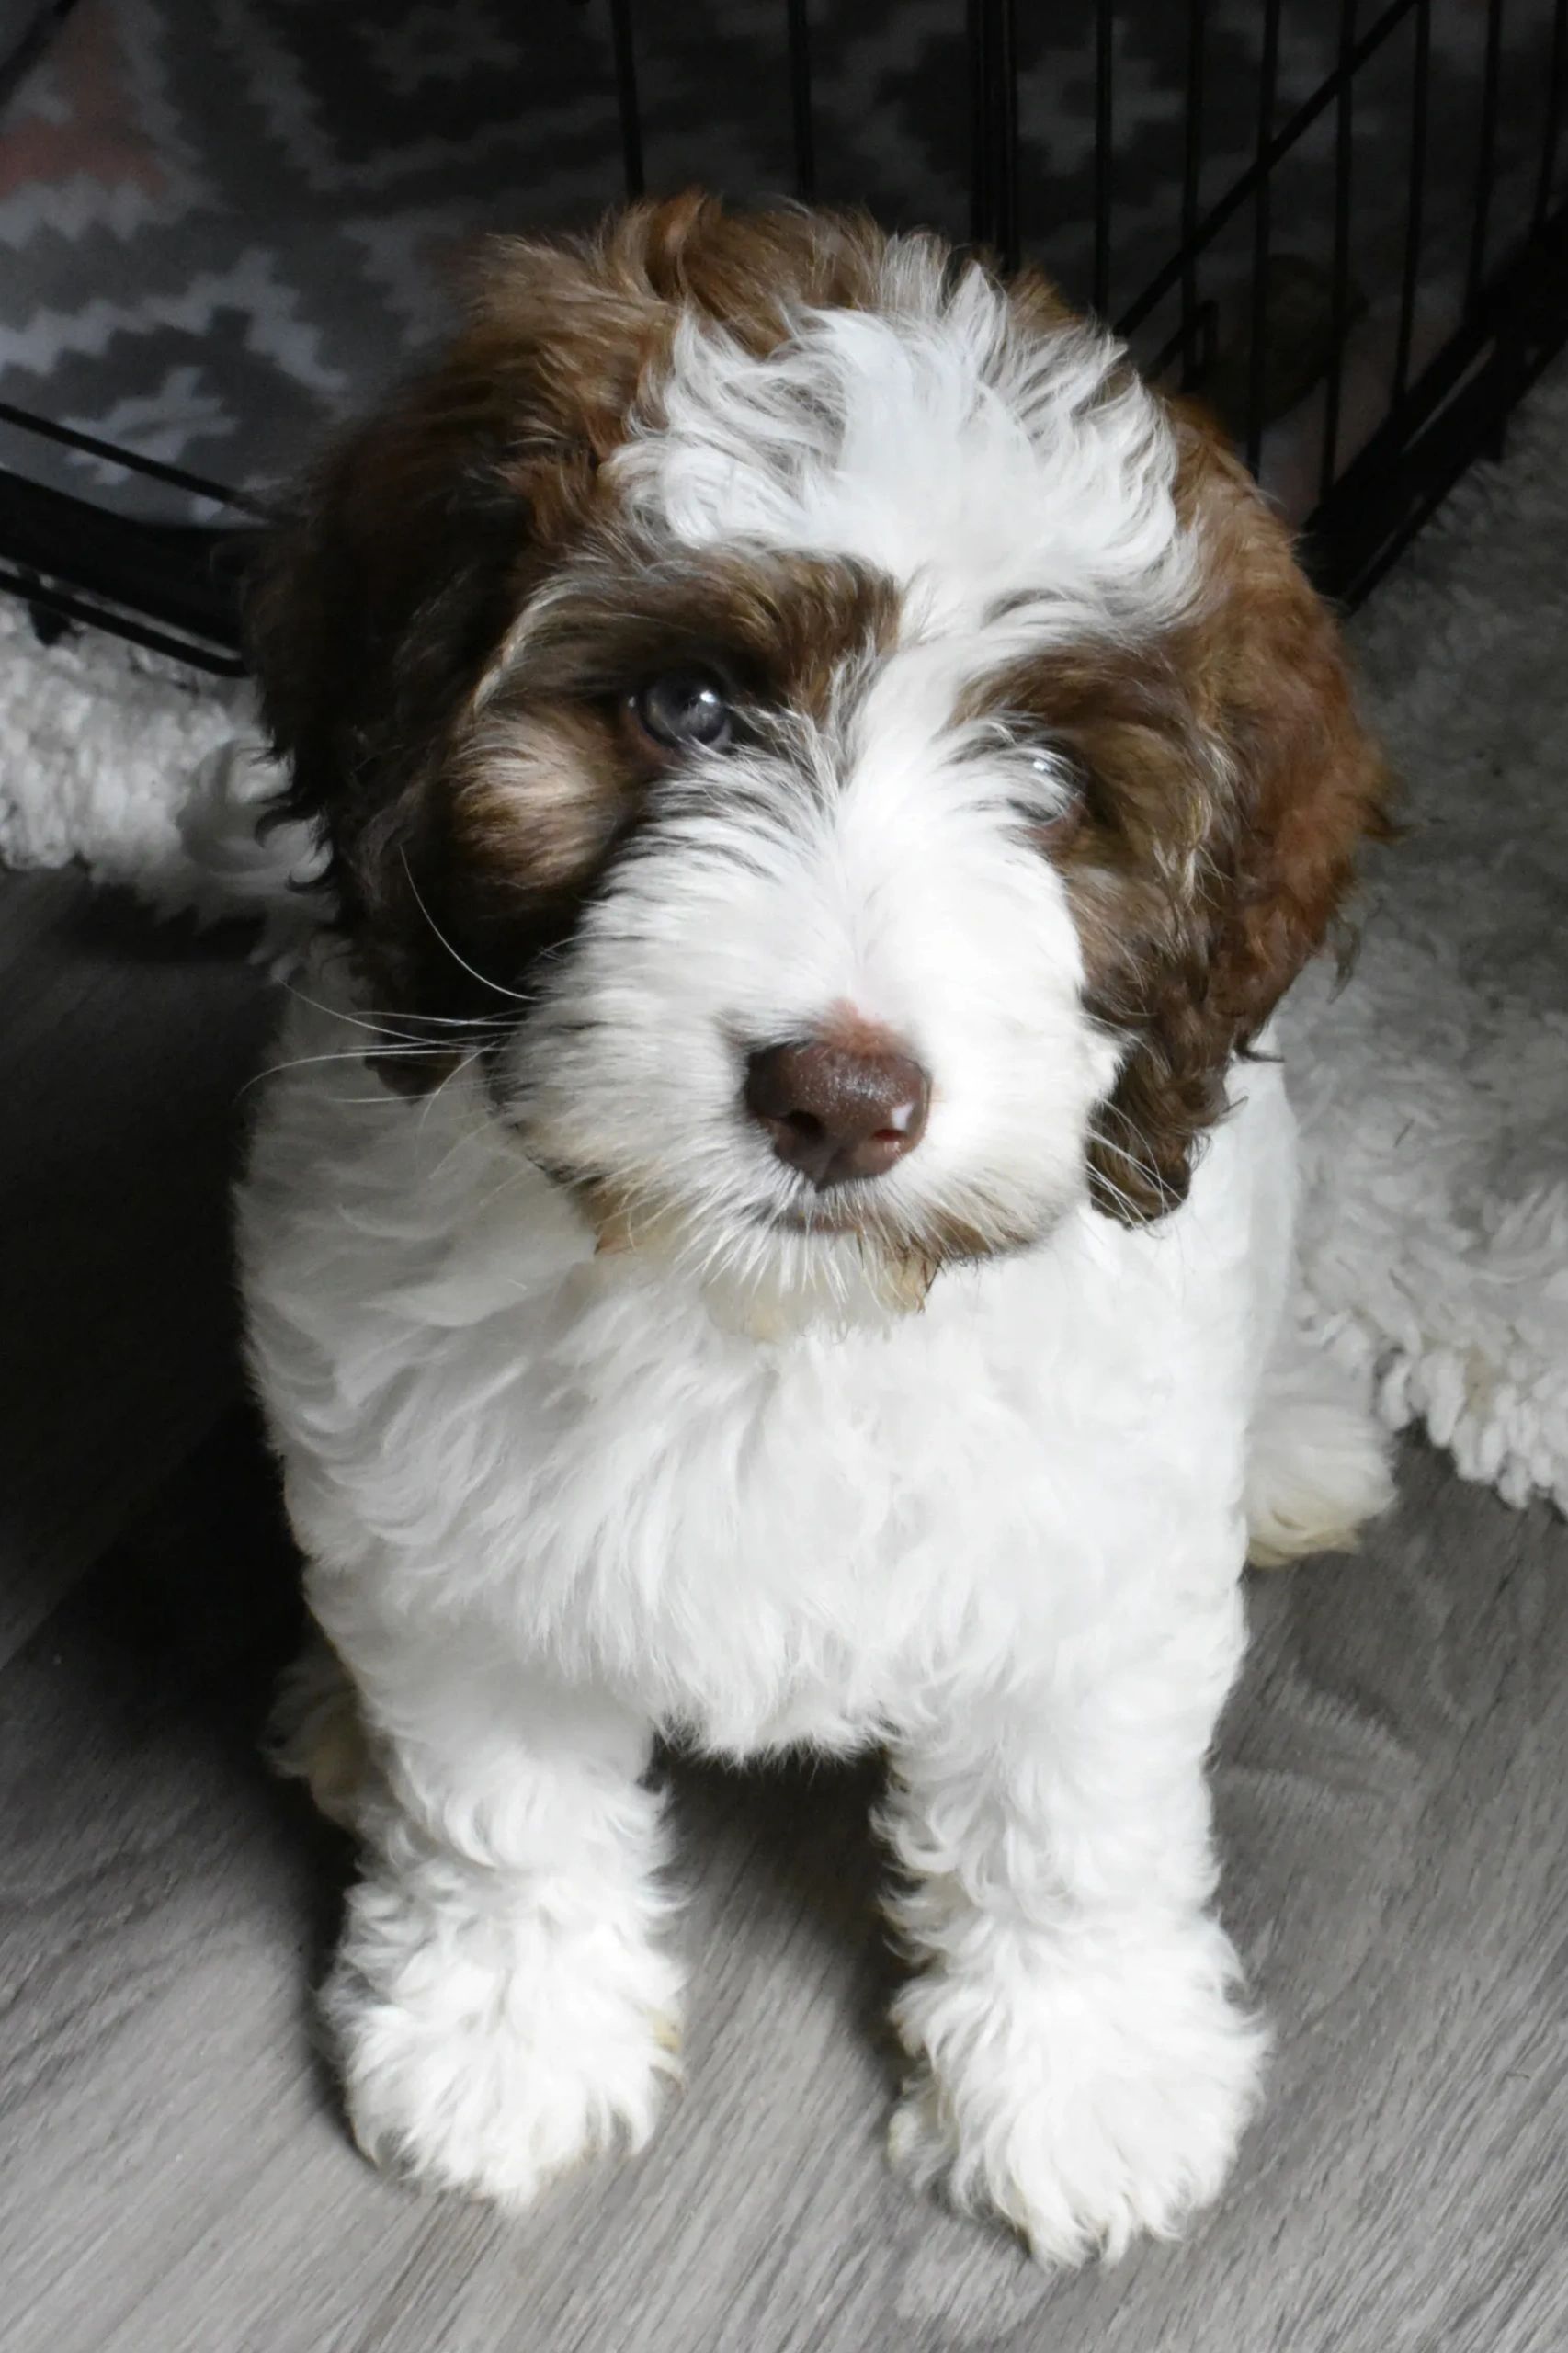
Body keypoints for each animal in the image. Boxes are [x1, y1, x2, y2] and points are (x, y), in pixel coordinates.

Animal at [237, 193, 1393, 2264]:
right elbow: (501, 1806)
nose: (841, 1098)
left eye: (1054, 787)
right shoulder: (450, 1535)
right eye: (687, 706)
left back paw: (1302, 1443)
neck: (766, 1314)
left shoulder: (1084, 1567)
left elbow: (1069, 1832)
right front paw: (504, 2032)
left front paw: (1083, 2076)